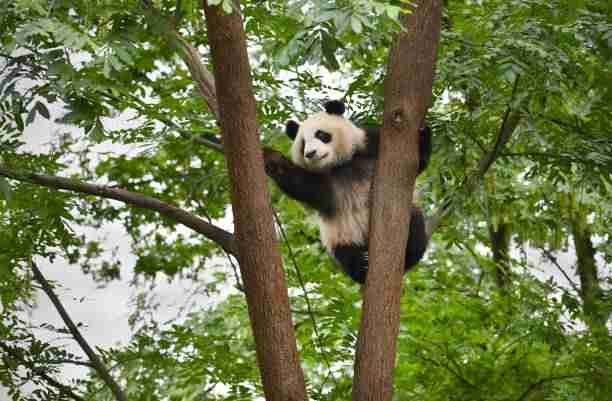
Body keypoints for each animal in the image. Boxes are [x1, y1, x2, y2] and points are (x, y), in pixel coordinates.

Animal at [264, 100, 430, 284]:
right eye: (303, 144)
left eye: (321, 135)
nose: (310, 153)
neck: (340, 164)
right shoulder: (325, 185)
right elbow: (302, 185)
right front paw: (271, 159)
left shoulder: (370, 146)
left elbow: (416, 166)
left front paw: (424, 133)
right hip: (341, 236)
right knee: (346, 255)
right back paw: (361, 267)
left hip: (407, 214)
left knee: (415, 228)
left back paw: (407, 256)